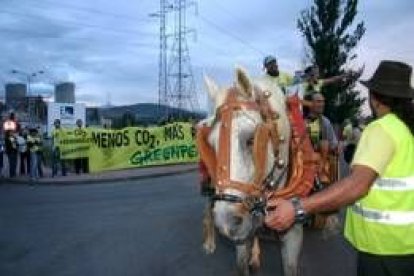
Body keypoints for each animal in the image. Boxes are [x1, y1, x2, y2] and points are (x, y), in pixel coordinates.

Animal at [201, 67, 304, 276]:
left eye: (251, 139)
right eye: (212, 145)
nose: (226, 221)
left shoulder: (293, 228)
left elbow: (290, 266)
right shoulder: (242, 232)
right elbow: (242, 262)